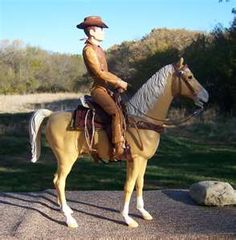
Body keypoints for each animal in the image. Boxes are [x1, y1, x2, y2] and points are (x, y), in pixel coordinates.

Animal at [29, 57, 208, 227]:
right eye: (190, 76)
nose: (206, 96)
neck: (141, 120)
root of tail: (51, 115)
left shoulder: (142, 160)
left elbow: (140, 183)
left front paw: (143, 212)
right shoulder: (135, 160)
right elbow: (129, 186)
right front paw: (127, 218)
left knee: (58, 181)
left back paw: (66, 209)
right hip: (67, 159)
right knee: (59, 181)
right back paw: (69, 219)